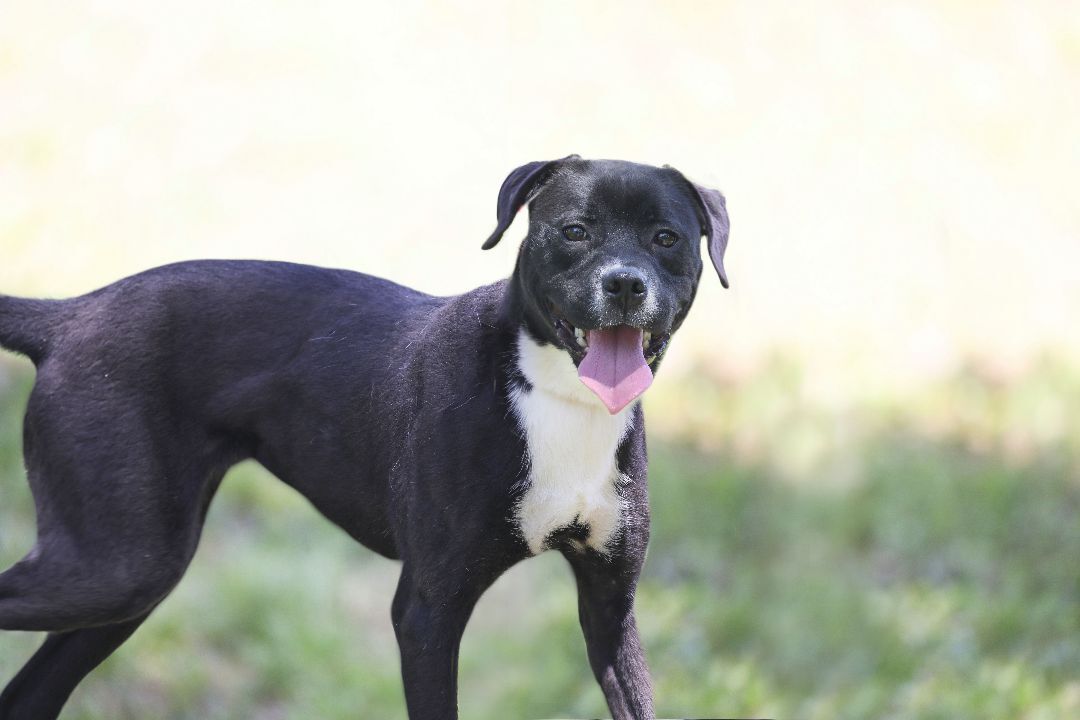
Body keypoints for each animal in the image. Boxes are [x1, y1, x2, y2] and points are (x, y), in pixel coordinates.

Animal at [0, 157, 730, 720]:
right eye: (576, 230)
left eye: (666, 237)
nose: (625, 283)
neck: (554, 394)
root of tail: (69, 316)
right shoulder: (428, 611)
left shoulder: (611, 610)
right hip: (117, 567)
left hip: (127, 584)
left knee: (30, 695)